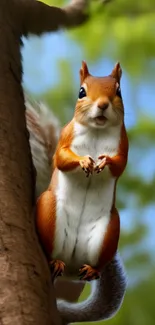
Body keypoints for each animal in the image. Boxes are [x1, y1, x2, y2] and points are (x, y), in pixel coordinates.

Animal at [34, 60, 130, 322]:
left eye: (119, 91)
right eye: (81, 92)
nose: (103, 105)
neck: (97, 131)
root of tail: (71, 265)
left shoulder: (123, 145)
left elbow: (120, 163)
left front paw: (104, 162)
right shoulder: (66, 138)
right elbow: (62, 157)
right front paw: (84, 161)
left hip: (108, 231)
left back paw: (91, 270)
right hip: (49, 211)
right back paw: (54, 261)